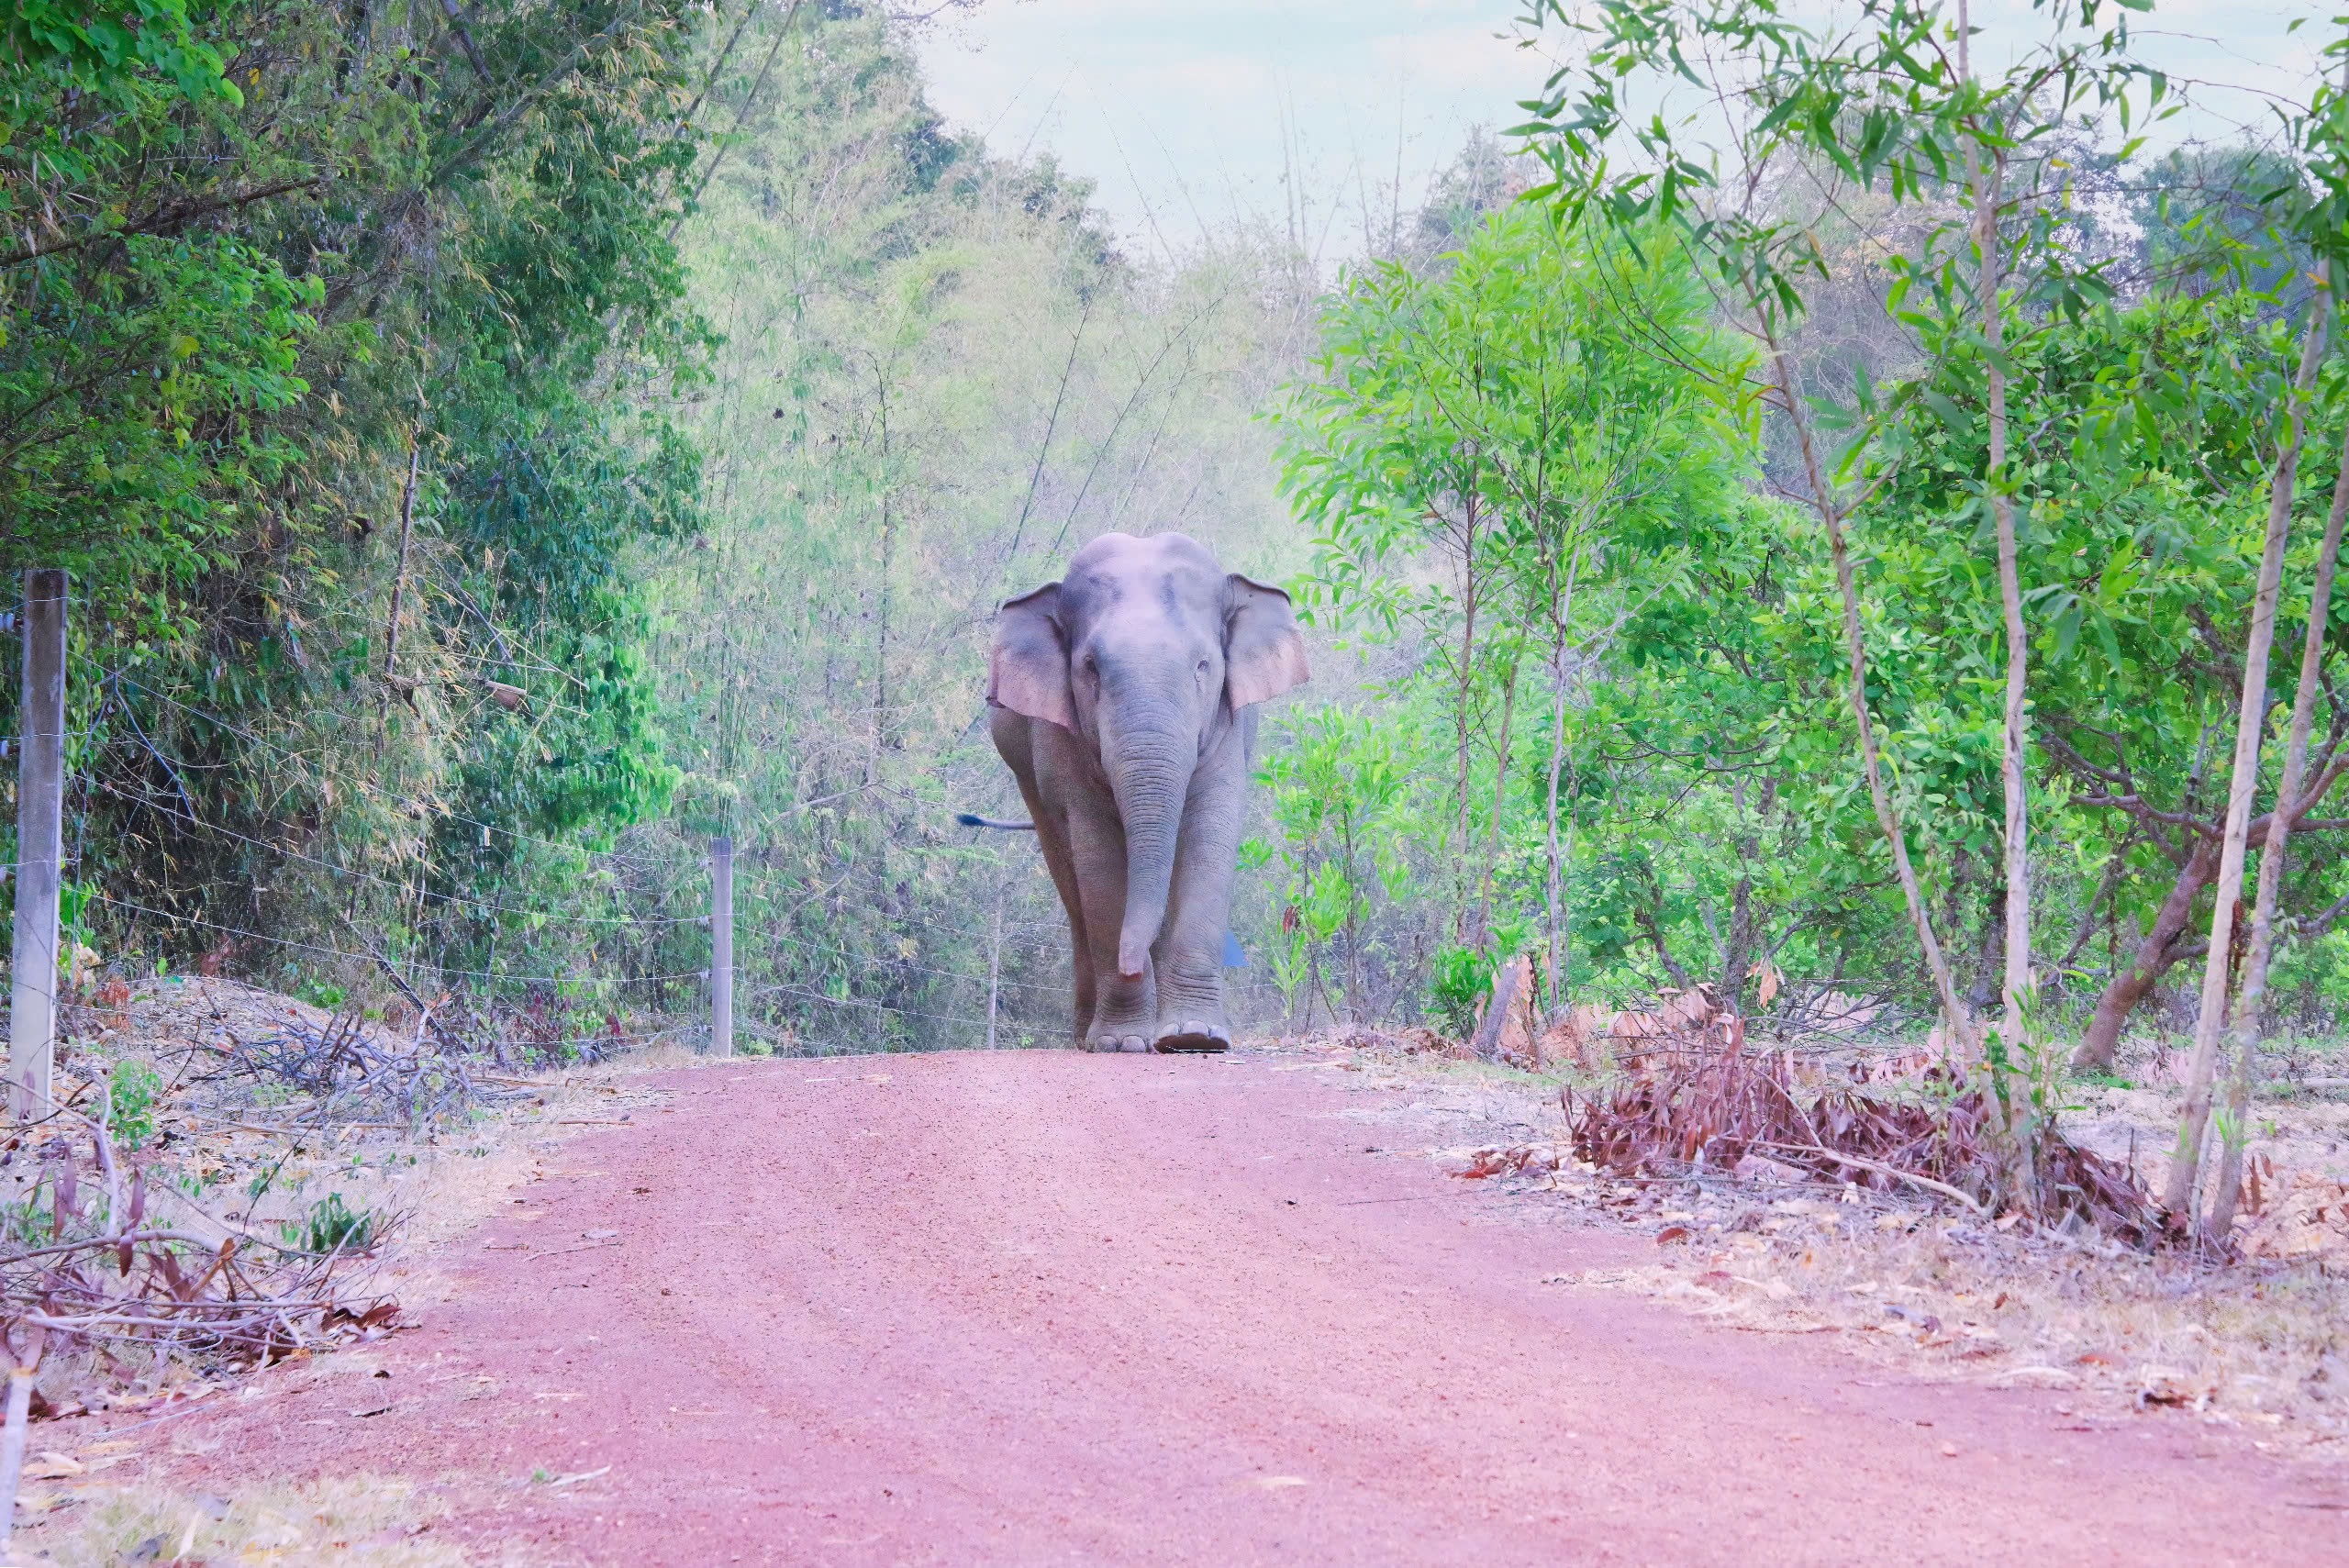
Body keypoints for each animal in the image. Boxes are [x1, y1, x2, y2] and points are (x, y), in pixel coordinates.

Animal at [972, 532, 1306, 1061]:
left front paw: (1195, 1037)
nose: (1131, 963)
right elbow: (1098, 857)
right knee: (1068, 878)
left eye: (1203, 666)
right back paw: (1088, 1036)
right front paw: (1123, 1041)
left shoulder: (1230, 729)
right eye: (1090, 668)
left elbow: (1208, 834)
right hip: (1025, 773)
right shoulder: (1061, 742)